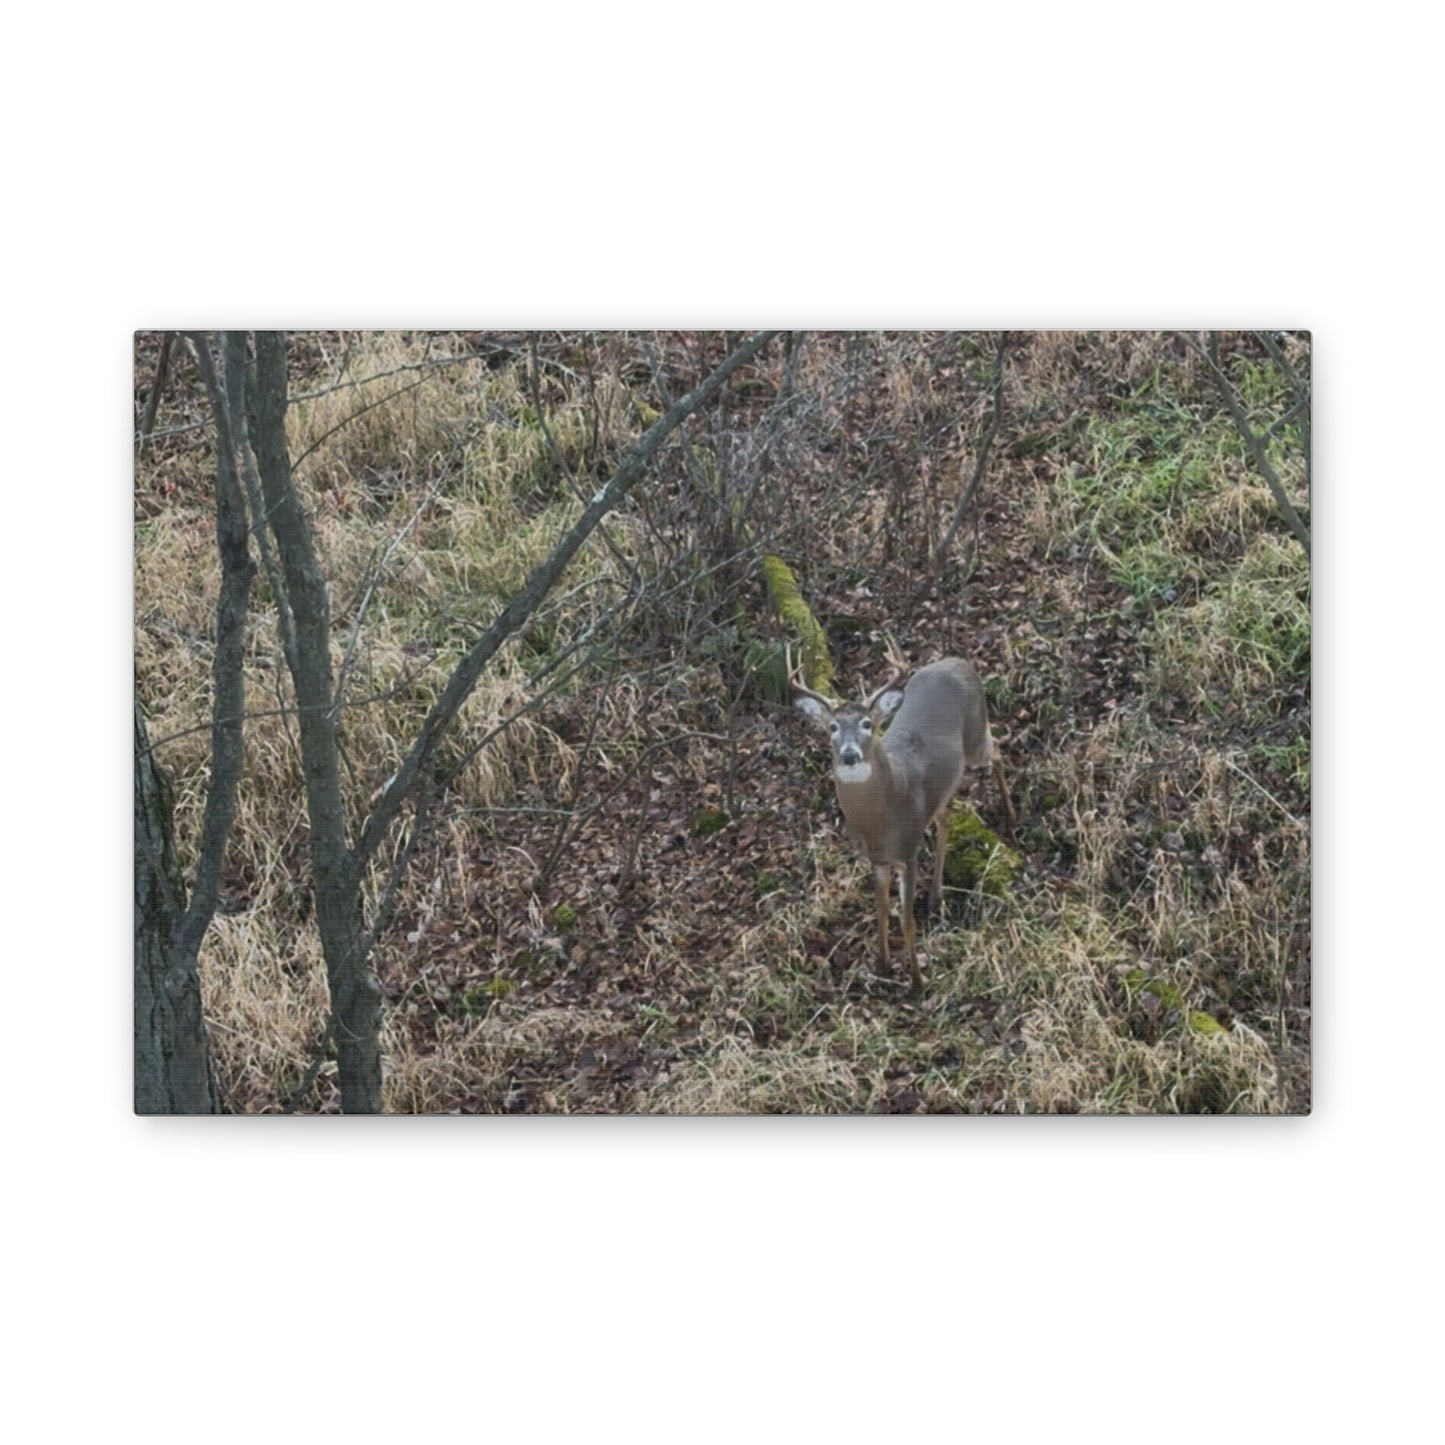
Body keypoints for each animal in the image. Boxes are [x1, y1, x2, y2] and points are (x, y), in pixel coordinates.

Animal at [791, 642, 1014, 992]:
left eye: (867, 724)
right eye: (833, 727)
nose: (850, 755)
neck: (884, 819)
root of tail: (958, 661)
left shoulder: (908, 852)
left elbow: (906, 918)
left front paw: (918, 981)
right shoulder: (878, 858)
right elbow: (881, 909)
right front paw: (882, 966)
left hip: (977, 734)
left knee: (998, 750)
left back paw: (1011, 814)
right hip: (945, 785)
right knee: (945, 817)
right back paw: (936, 897)